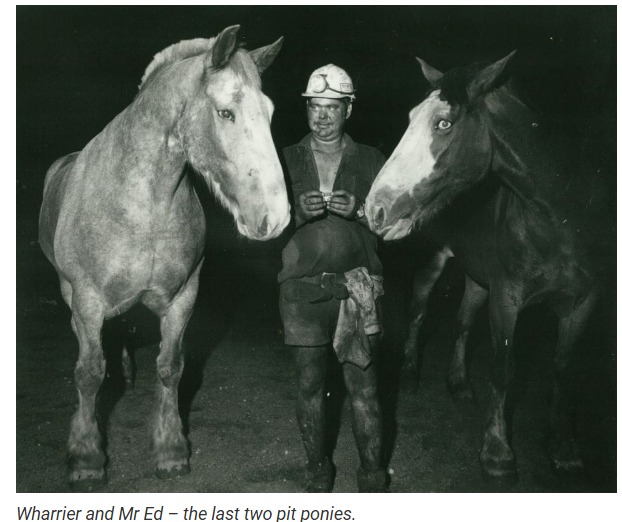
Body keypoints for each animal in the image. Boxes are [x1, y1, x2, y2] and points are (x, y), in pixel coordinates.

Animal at [37, 24, 292, 488]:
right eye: (226, 113)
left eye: (268, 111)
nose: (275, 217)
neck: (146, 203)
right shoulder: (88, 300)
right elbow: (88, 372)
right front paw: (86, 458)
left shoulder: (183, 298)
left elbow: (171, 367)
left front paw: (171, 450)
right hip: (70, 295)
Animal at [366, 50, 600, 482]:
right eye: (410, 117)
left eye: (444, 123)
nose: (376, 208)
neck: (561, 220)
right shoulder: (507, 297)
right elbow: (502, 368)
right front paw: (497, 451)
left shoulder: (584, 301)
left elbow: (562, 368)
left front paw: (562, 447)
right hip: (436, 260)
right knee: (419, 307)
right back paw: (410, 371)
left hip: (479, 279)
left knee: (462, 321)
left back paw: (458, 383)